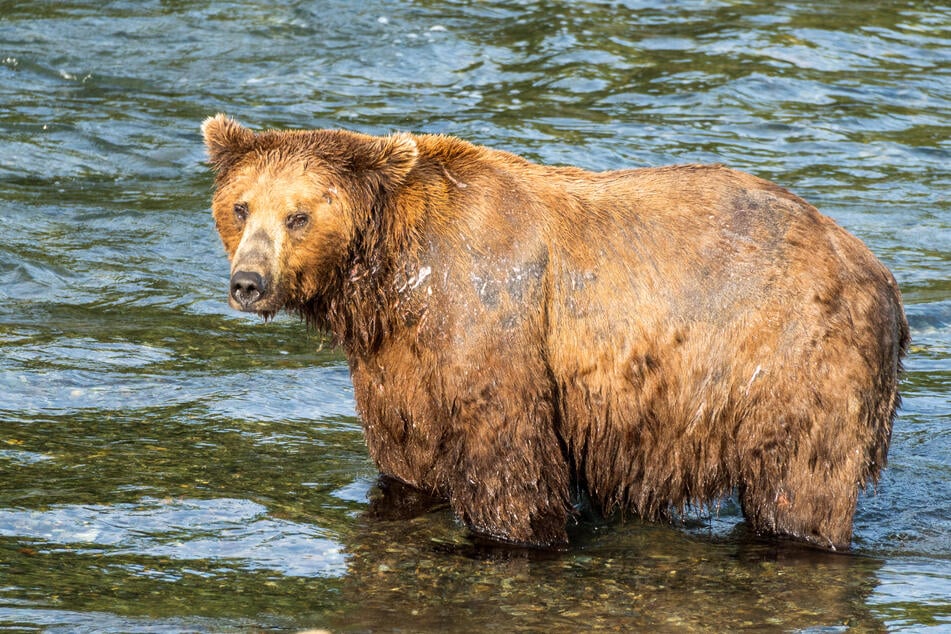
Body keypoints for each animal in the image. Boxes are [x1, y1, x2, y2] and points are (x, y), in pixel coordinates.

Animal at [202, 114, 908, 550]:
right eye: (241, 206)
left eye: (298, 215)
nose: (249, 283)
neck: (392, 275)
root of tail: (881, 275)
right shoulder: (399, 362)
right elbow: (408, 456)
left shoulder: (488, 318)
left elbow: (508, 460)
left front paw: (514, 534)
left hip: (794, 358)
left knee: (800, 484)